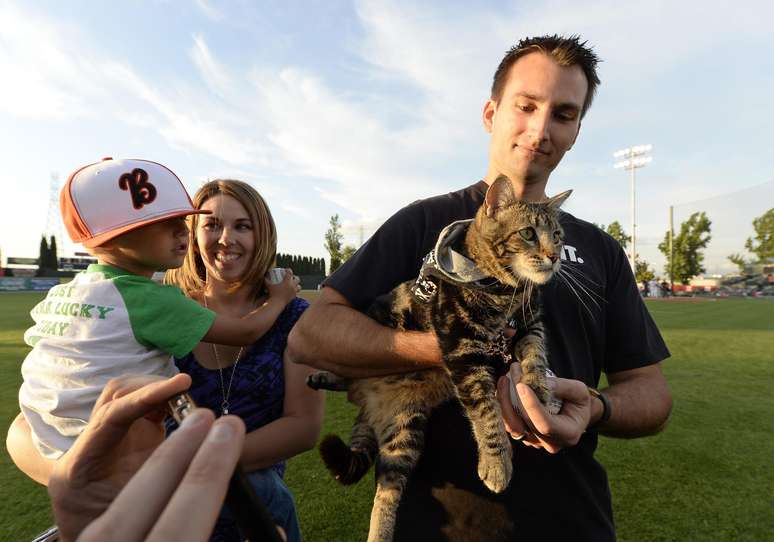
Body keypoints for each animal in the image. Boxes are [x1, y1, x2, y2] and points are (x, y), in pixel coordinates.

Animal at [308, 176, 568, 540]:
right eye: (528, 233)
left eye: (557, 235)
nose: (555, 256)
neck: (505, 293)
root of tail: (365, 406)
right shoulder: (462, 348)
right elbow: (486, 411)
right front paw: (496, 464)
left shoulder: (531, 325)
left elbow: (536, 356)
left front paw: (540, 392)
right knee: (347, 371)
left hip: (405, 433)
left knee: (387, 490)